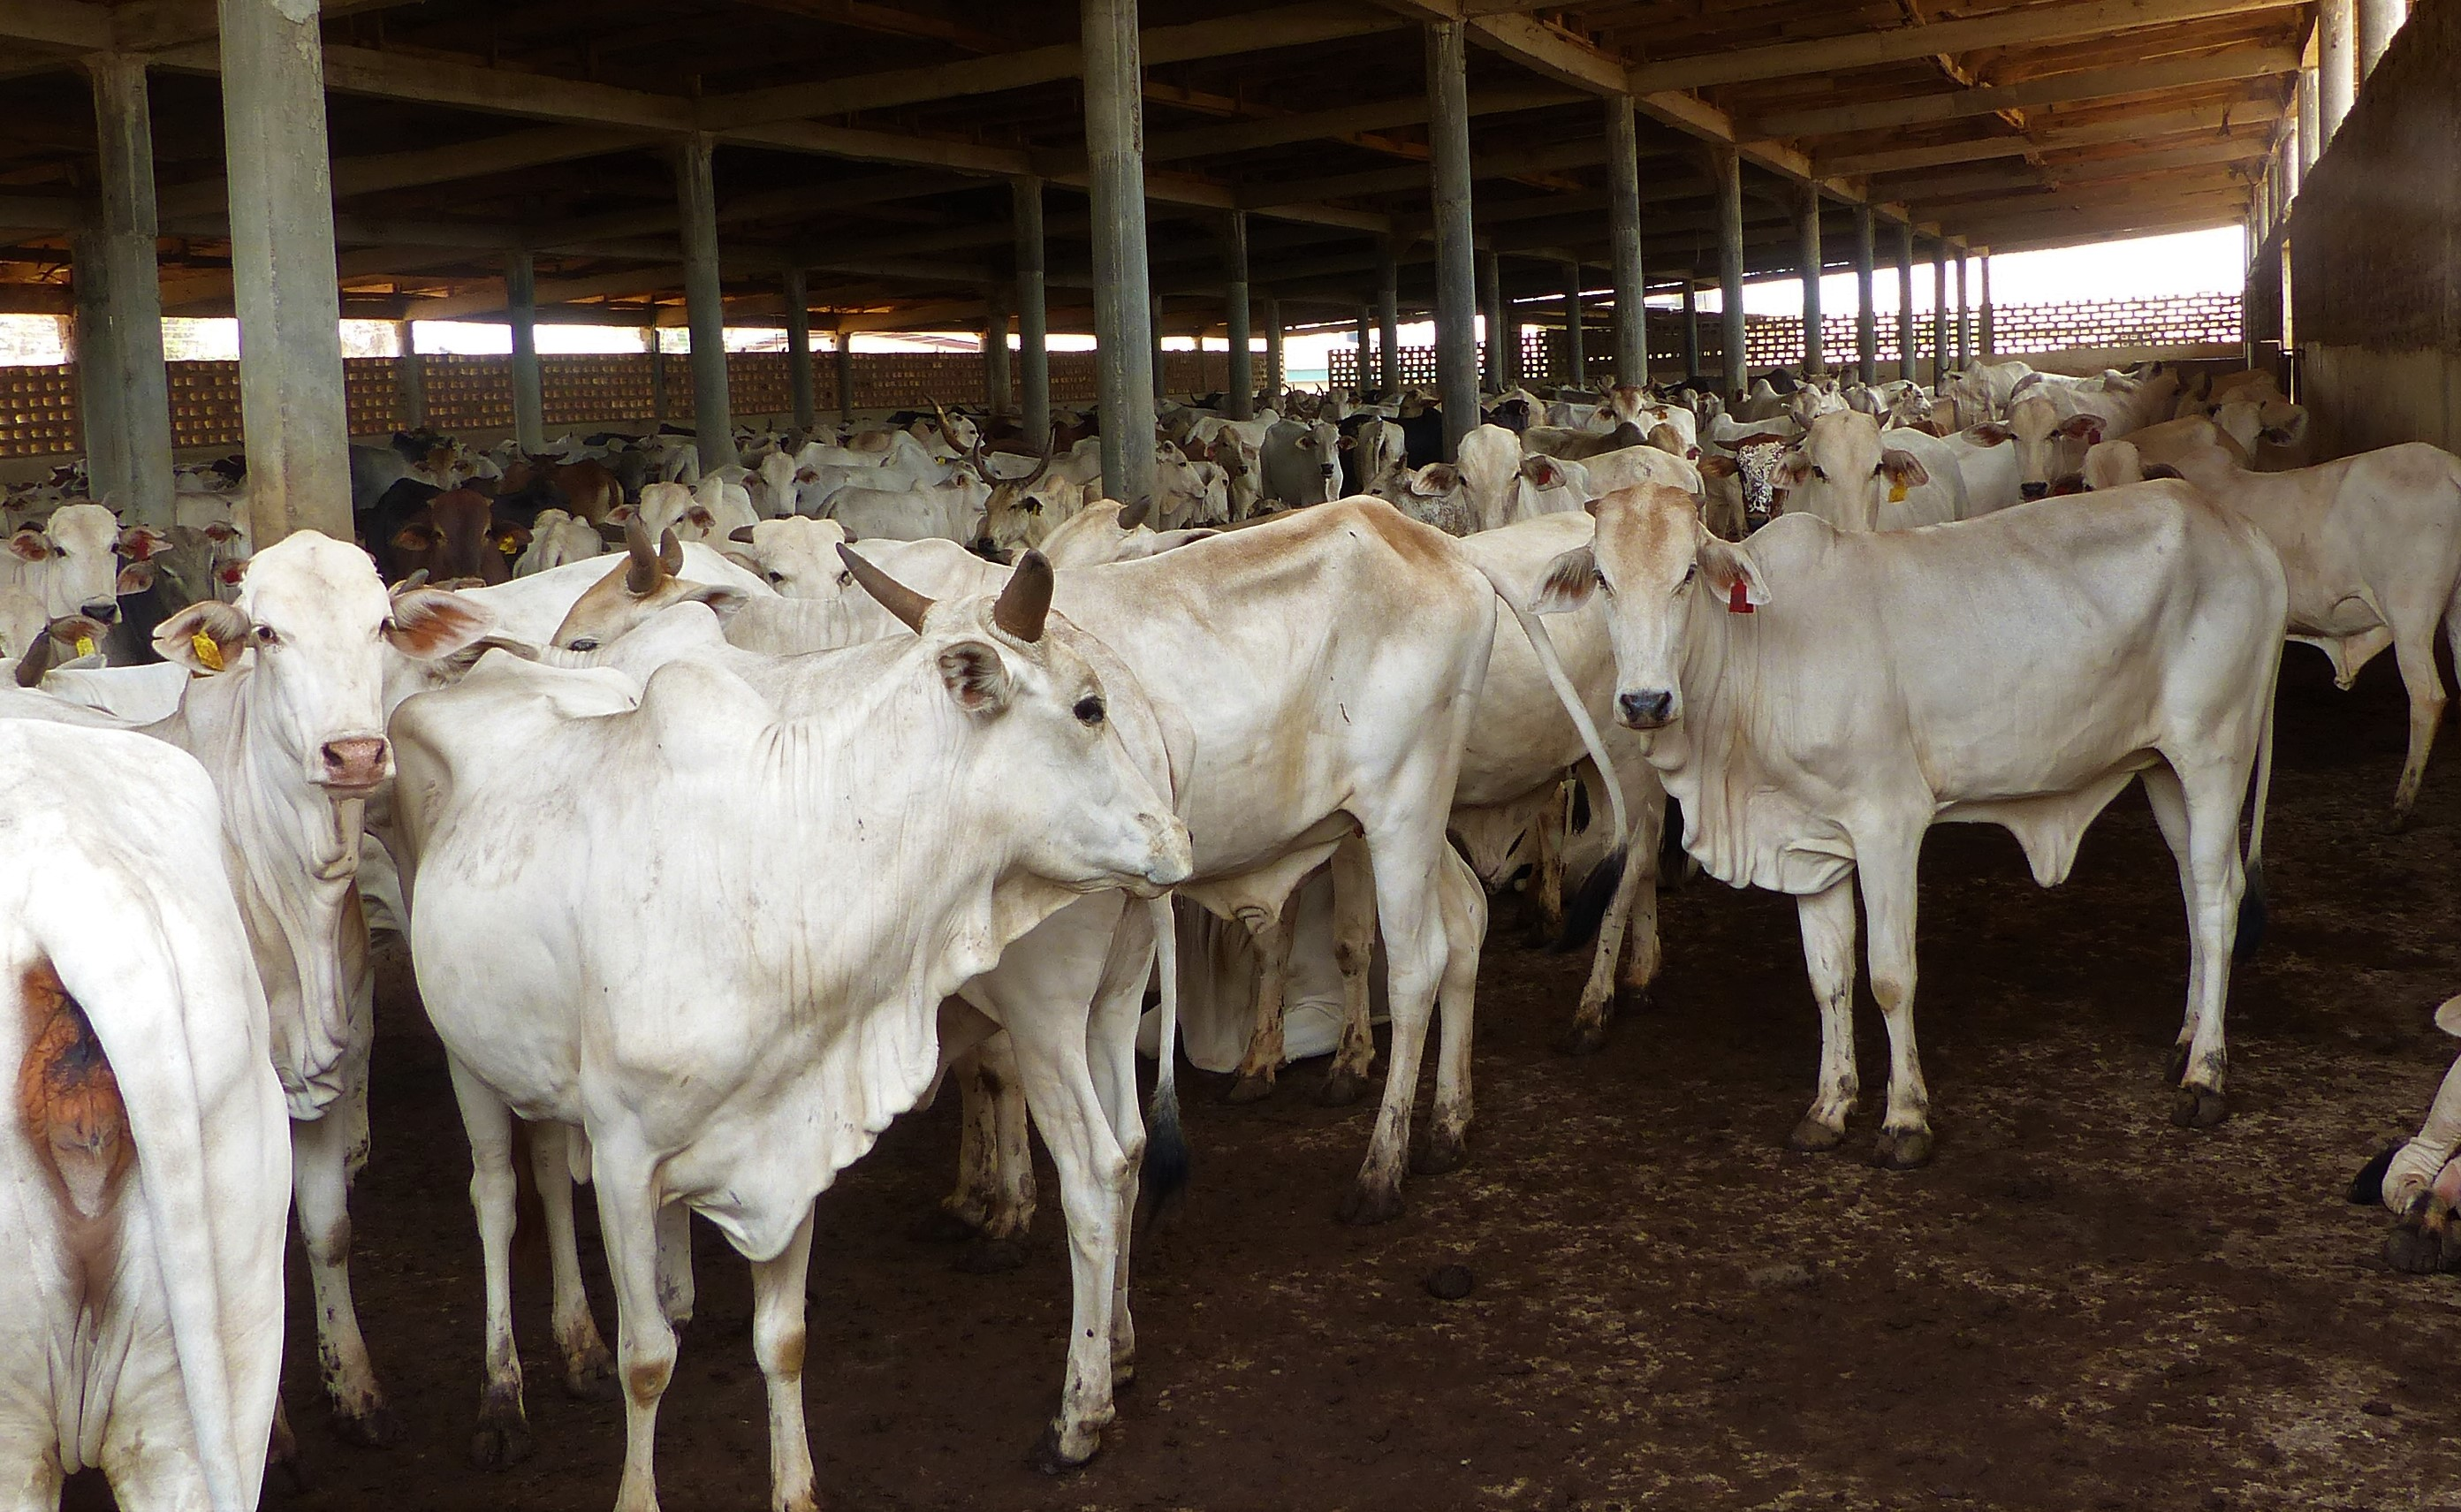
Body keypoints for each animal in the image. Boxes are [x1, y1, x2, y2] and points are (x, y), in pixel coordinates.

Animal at [389, 558, 1193, 1500]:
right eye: (1085, 708)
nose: (1176, 837)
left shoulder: (793, 1137)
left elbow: (781, 1338)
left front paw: (793, 1486)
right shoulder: (629, 1154)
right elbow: (649, 1358)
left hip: (1076, 1007)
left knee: (1110, 1161)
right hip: (468, 1050)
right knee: (495, 1195)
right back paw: (502, 1397)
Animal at [1534, 482, 2286, 1166]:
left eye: (1687, 573)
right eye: (1602, 578)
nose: (1645, 701)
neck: (1761, 653)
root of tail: (2239, 528)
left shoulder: (1887, 823)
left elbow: (1889, 976)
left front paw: (1903, 1120)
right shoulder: (1809, 843)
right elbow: (1828, 977)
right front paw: (1828, 1106)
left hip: (2214, 752)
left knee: (2218, 901)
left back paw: (2206, 1076)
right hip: (2161, 769)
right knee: (2192, 889)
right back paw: (2186, 1040)